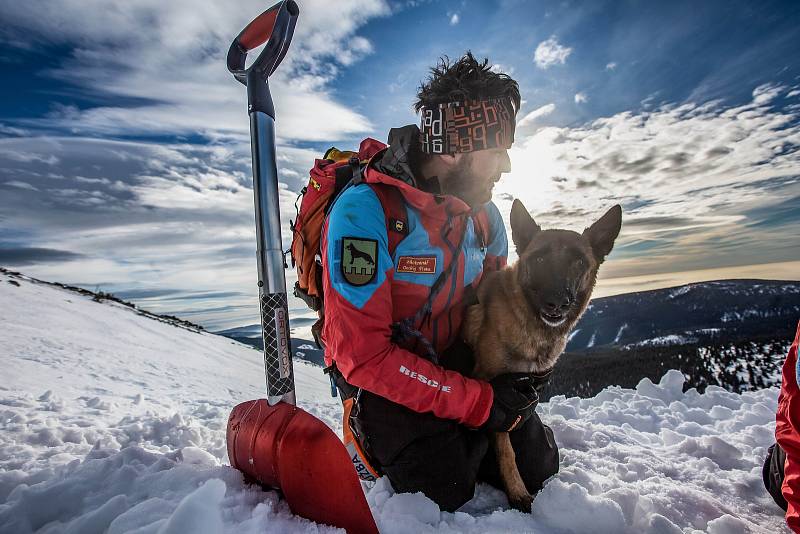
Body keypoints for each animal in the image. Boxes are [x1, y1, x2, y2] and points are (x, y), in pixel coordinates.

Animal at [462, 199, 624, 512]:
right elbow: (506, 449)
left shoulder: (527, 388)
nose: (556, 301)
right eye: (538, 259)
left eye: (579, 262)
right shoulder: (496, 390)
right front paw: (517, 492)